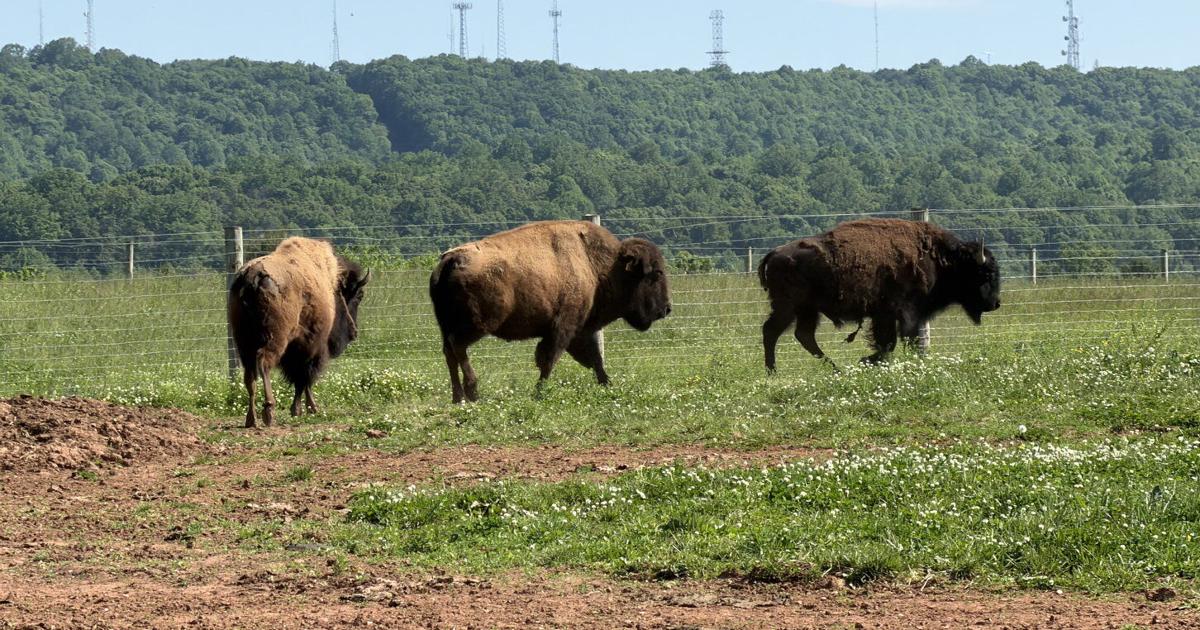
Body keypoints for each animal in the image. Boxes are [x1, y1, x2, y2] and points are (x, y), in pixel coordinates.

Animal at [228, 237, 370, 427]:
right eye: (358, 295)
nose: (354, 332)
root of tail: (252, 277)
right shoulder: (312, 347)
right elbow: (304, 377)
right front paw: (304, 409)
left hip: (243, 342)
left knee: (250, 376)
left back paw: (251, 419)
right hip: (275, 339)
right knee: (264, 363)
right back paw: (269, 411)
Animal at [429, 220, 672, 403]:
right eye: (657, 273)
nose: (666, 308)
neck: (597, 265)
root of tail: (451, 259)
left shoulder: (580, 329)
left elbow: (595, 358)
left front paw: (607, 384)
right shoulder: (563, 327)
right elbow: (550, 358)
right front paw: (539, 393)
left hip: (446, 325)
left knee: (449, 352)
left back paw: (458, 397)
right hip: (478, 325)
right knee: (458, 346)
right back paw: (473, 392)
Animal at [758, 218, 1000, 368]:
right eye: (987, 273)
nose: (996, 303)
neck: (942, 259)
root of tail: (775, 252)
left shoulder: (886, 316)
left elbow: (890, 342)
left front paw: (869, 361)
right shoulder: (902, 313)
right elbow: (899, 340)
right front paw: (870, 360)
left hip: (807, 310)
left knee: (803, 335)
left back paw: (834, 368)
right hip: (789, 307)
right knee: (772, 331)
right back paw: (772, 372)